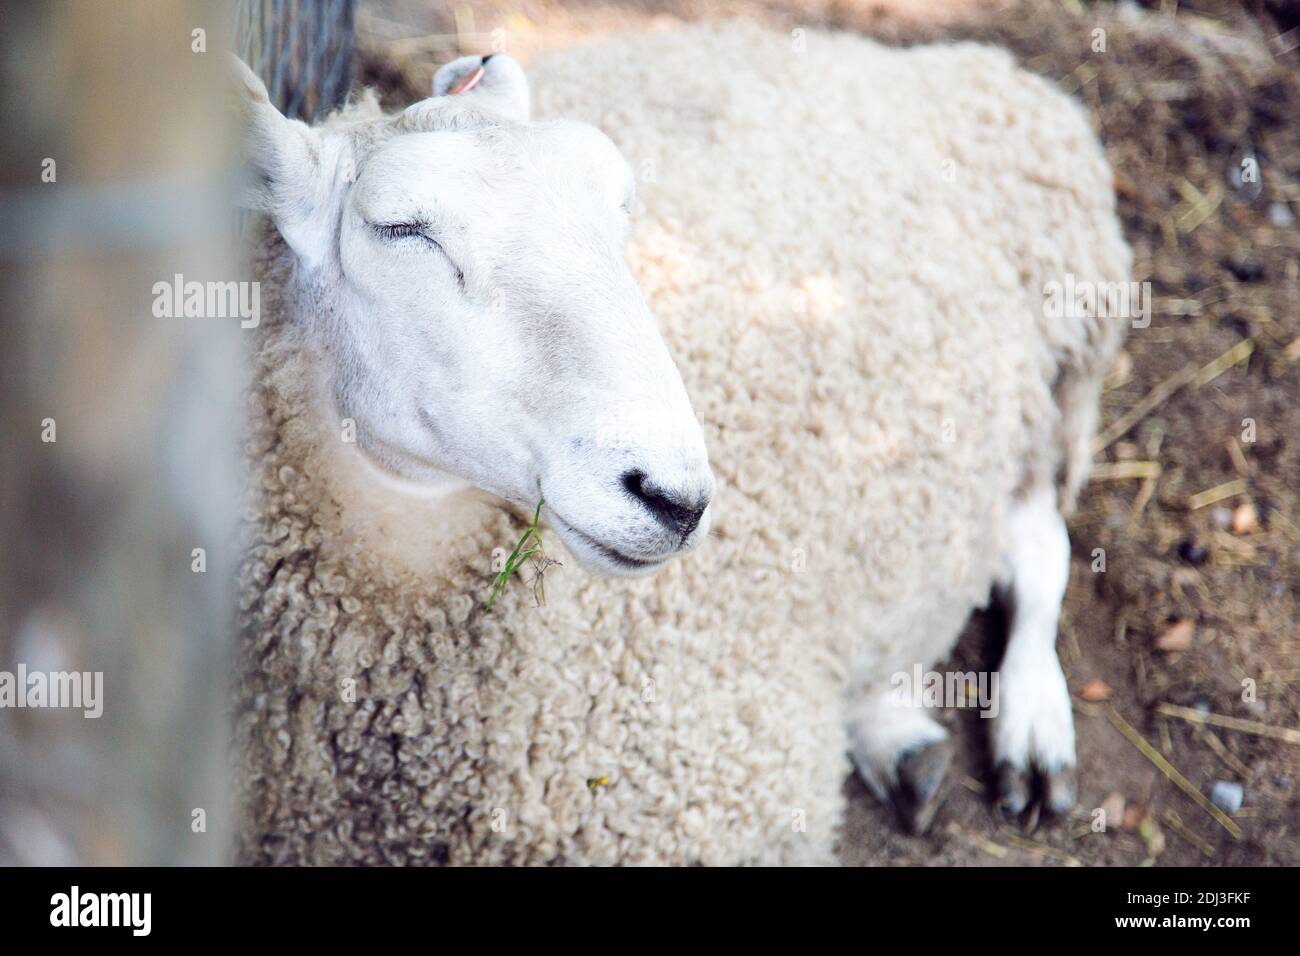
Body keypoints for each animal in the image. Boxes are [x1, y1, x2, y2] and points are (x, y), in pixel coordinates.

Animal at [233, 20, 1128, 868]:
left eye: (620, 204)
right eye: (400, 228)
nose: (674, 498)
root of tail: (972, 65)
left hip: (1062, 367)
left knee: (1040, 545)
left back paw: (1028, 731)